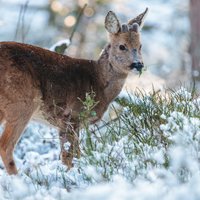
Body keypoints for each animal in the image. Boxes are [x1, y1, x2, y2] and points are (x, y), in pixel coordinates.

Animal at [0, 8, 147, 174]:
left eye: (140, 46)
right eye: (122, 46)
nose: (138, 64)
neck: (98, 80)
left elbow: (77, 154)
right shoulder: (70, 116)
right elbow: (69, 156)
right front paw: (72, 175)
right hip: (22, 101)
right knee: (5, 146)